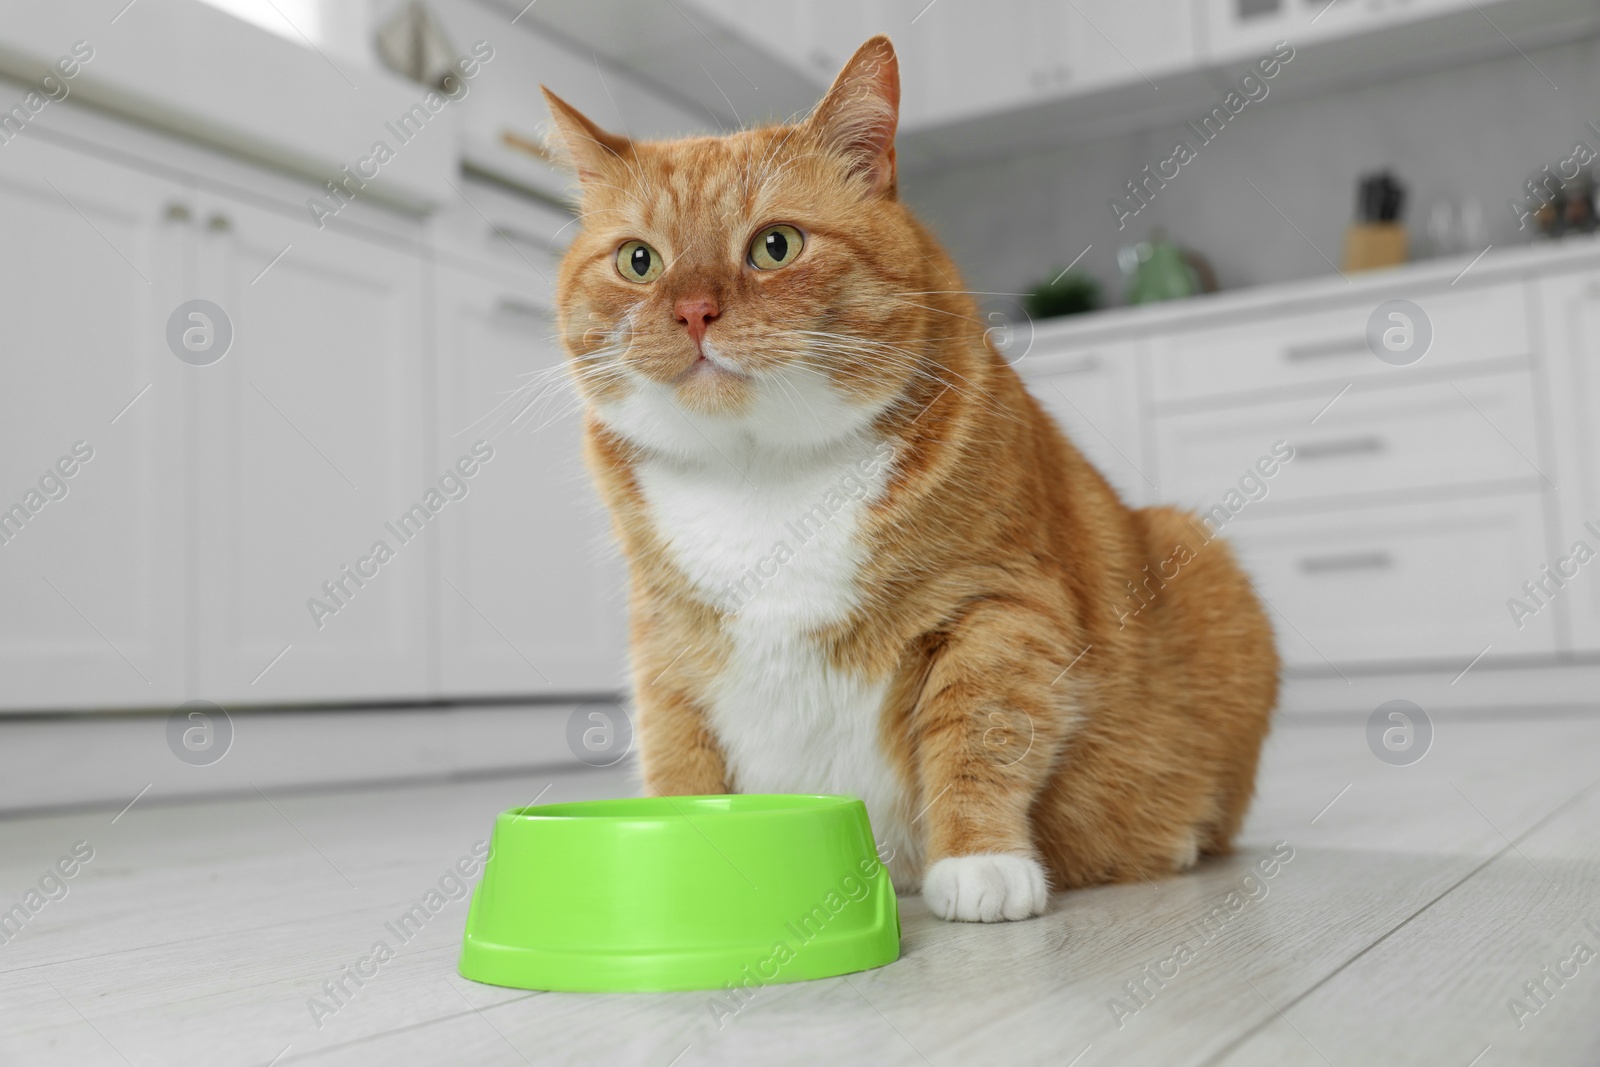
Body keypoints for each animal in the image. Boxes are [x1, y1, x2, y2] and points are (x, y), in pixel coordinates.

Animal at [544, 37, 1280, 921]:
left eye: (775, 245)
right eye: (638, 261)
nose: (692, 311)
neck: (759, 475)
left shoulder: (1000, 607)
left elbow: (979, 731)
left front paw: (980, 860)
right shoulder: (665, 654)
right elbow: (682, 762)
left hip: (1203, 558)